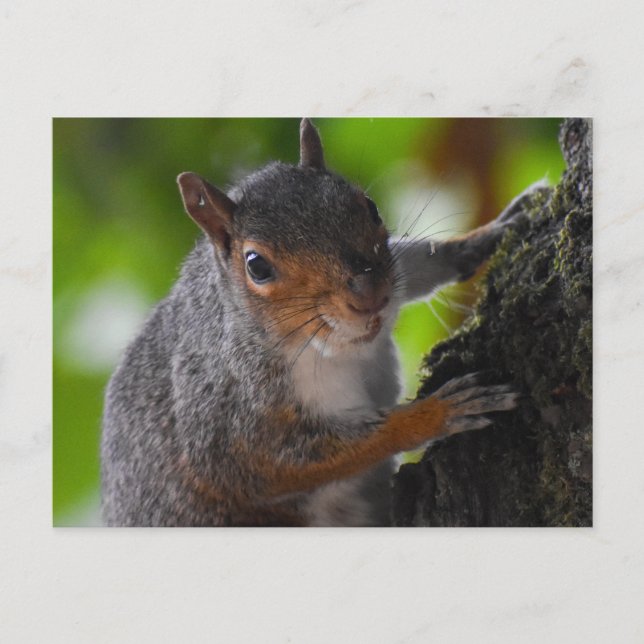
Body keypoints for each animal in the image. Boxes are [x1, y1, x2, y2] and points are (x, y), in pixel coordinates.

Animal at [101, 118, 528, 527]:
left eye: (370, 207)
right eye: (256, 265)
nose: (368, 295)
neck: (333, 346)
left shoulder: (394, 276)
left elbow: (419, 264)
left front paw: (491, 233)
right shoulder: (228, 421)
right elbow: (290, 463)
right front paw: (438, 413)